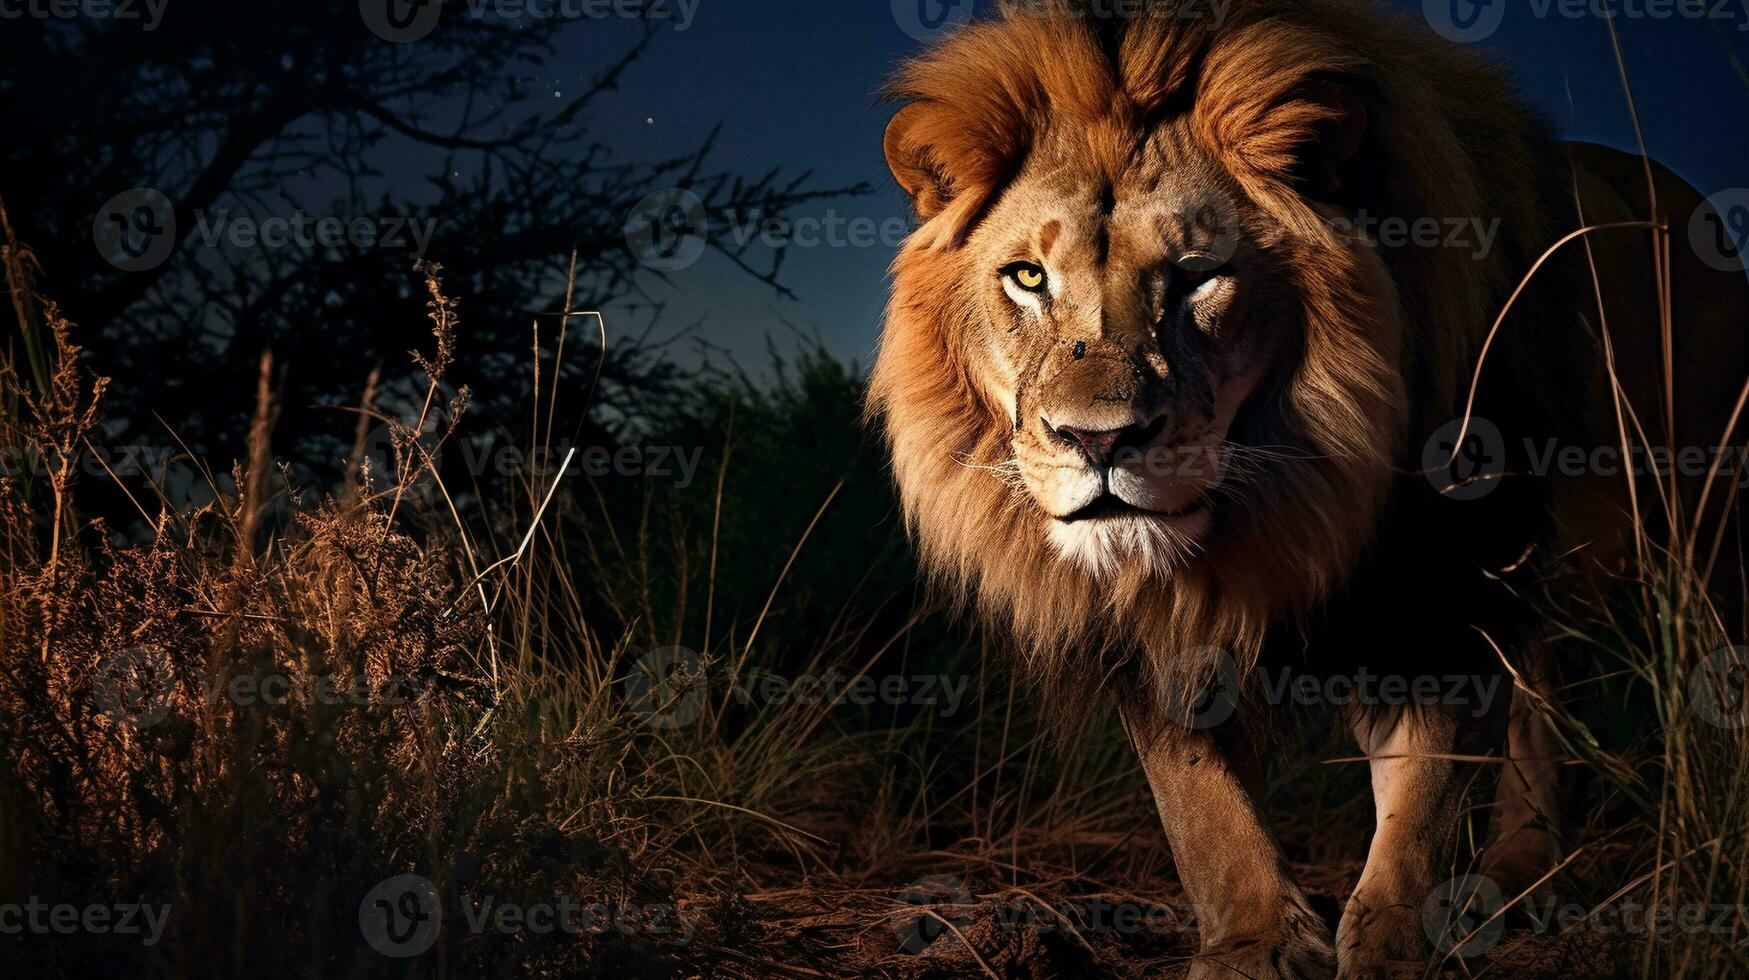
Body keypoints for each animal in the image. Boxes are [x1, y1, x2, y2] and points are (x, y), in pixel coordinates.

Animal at [871, 3, 1749, 973]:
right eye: (1027, 277)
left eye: (1194, 276)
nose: (1097, 440)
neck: (1284, 506)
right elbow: (1196, 799)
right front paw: (1253, 939)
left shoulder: (1444, 575)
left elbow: (1426, 799)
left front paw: (1395, 944)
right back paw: (1519, 870)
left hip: (1698, 526)